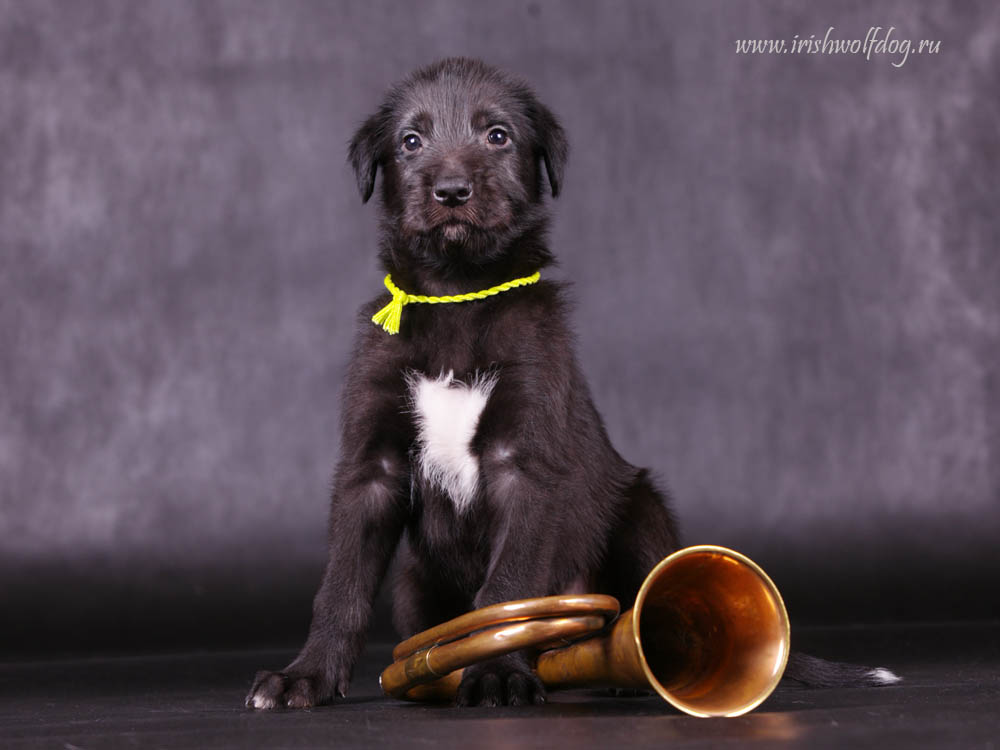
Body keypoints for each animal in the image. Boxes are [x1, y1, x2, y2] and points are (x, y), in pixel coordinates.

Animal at [244, 57, 900, 712]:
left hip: (642, 512)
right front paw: (306, 676)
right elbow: (342, 586)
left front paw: (497, 673)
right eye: (410, 141)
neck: (458, 294)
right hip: (412, 583)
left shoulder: (525, 463)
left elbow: (506, 592)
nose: (451, 191)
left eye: (498, 135)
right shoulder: (371, 468)